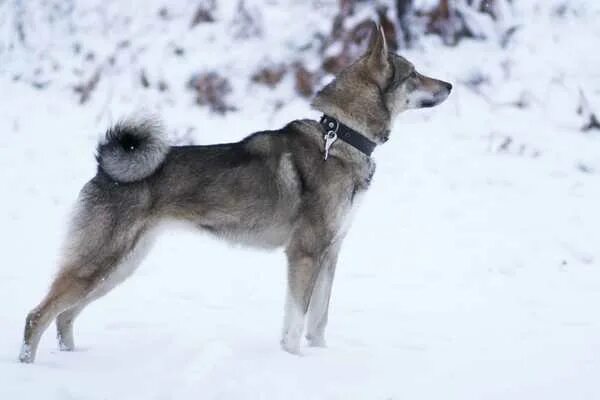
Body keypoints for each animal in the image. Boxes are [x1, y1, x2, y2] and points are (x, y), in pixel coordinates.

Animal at [17, 24, 450, 362]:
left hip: (120, 266)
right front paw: (294, 362)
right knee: (38, 315)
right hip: (100, 263)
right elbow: (296, 324)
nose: (448, 84)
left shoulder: (330, 253)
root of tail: (103, 169)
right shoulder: (305, 253)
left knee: (64, 316)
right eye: (414, 74)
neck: (341, 136)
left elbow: (318, 323)